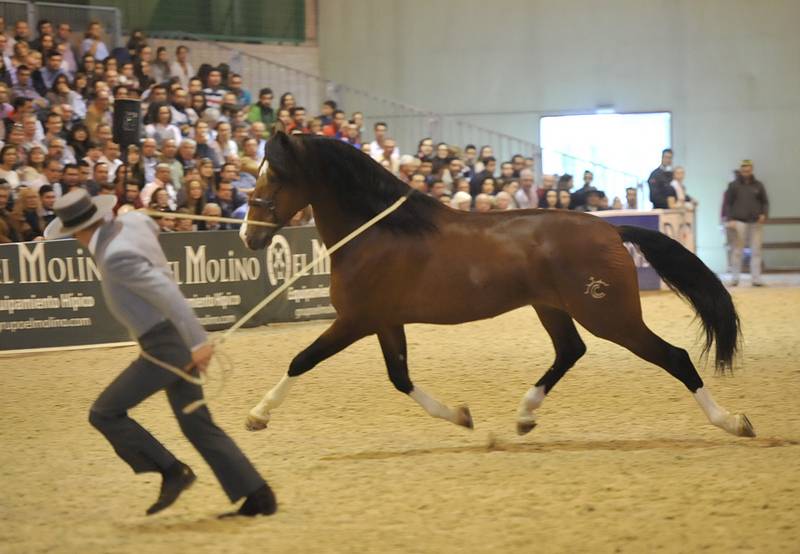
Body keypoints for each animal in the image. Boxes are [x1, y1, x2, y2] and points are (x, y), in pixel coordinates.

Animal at [240, 131, 755, 439]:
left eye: (275, 174)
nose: (248, 235)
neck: (378, 232)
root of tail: (609, 229)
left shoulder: (355, 321)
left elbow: (301, 360)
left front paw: (258, 414)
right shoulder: (385, 322)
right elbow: (400, 378)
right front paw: (462, 416)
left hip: (610, 315)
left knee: (675, 357)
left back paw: (733, 422)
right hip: (553, 308)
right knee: (570, 351)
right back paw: (525, 414)